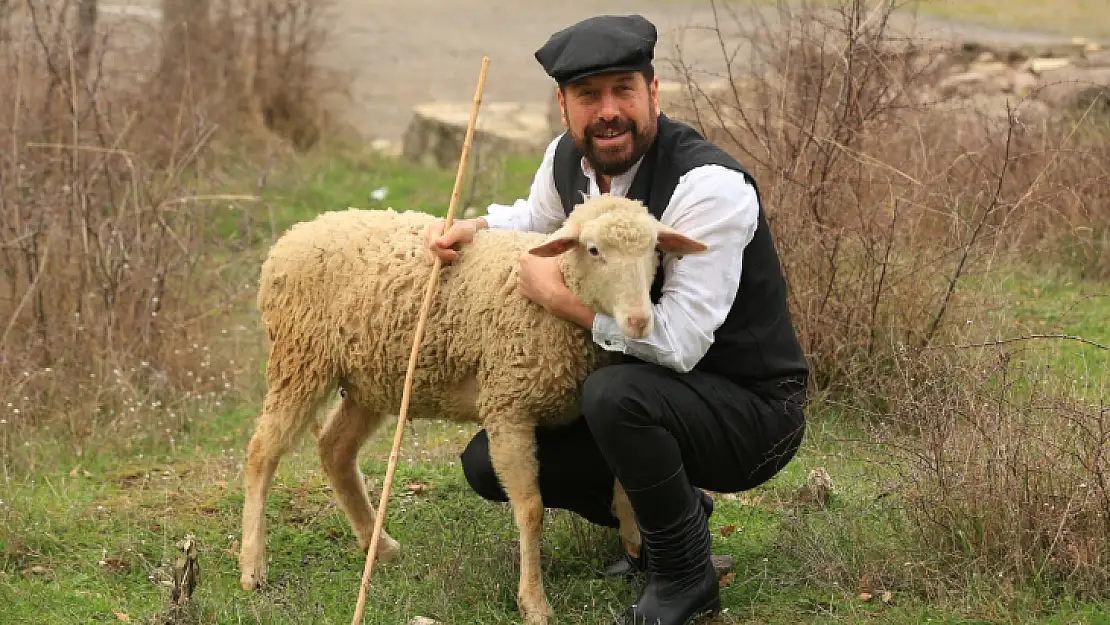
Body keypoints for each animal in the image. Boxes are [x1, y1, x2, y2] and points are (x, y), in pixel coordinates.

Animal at [240, 193, 710, 621]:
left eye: (654, 249)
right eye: (593, 250)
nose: (639, 323)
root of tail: (296, 234)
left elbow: (623, 475)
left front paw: (632, 536)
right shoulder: (508, 405)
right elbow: (531, 509)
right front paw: (534, 602)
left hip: (371, 378)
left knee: (335, 450)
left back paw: (381, 547)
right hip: (302, 358)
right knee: (262, 452)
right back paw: (252, 568)